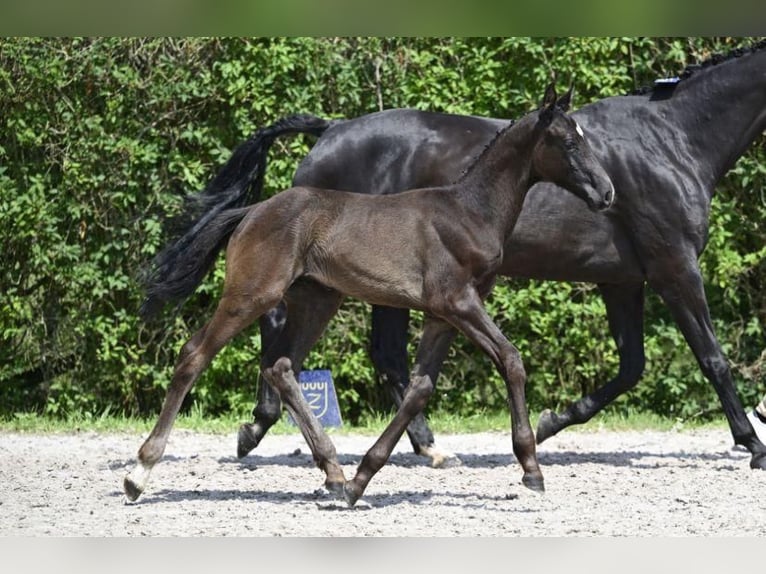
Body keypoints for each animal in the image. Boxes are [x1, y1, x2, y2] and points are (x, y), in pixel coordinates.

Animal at [129, 85, 616, 504]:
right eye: (568, 143)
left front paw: (361, 479)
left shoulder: (442, 315)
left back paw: (332, 472)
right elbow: (510, 360)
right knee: (195, 354)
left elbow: (420, 387)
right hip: (252, 293)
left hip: (318, 300)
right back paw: (139, 473)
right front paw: (531, 467)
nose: (607, 192)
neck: (469, 213)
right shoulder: (458, 302)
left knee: (282, 366)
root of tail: (252, 210)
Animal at [144, 40, 766, 472]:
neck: (673, 140)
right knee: (304, 335)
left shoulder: (624, 280)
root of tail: (330, 128)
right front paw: (753, 444)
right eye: (568, 143)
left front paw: (548, 424)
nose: (607, 193)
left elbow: (631, 367)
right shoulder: (673, 267)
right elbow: (712, 358)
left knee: (363, 352)